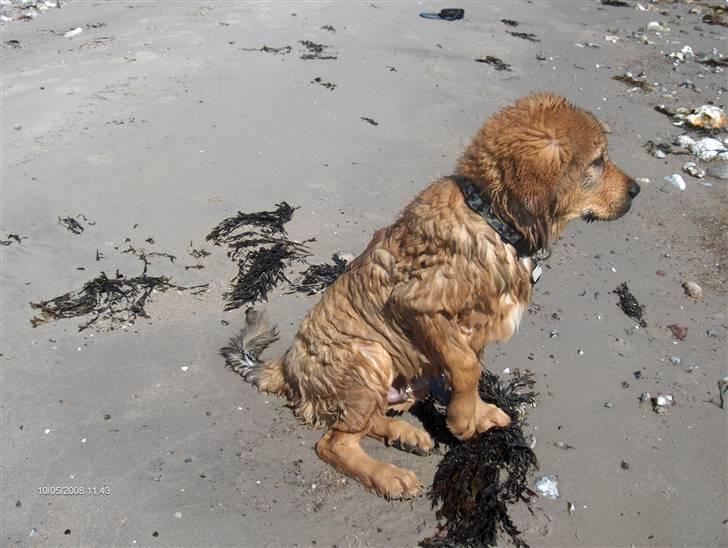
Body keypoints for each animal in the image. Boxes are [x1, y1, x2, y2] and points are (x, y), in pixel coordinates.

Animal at [220, 92, 636, 498]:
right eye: (598, 161)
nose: (637, 190)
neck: (490, 218)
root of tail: (287, 367)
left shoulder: (475, 329)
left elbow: (473, 367)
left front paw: (479, 412)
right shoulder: (417, 305)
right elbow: (467, 367)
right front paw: (463, 421)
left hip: (410, 377)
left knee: (363, 421)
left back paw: (406, 434)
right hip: (372, 355)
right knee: (333, 443)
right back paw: (389, 475)